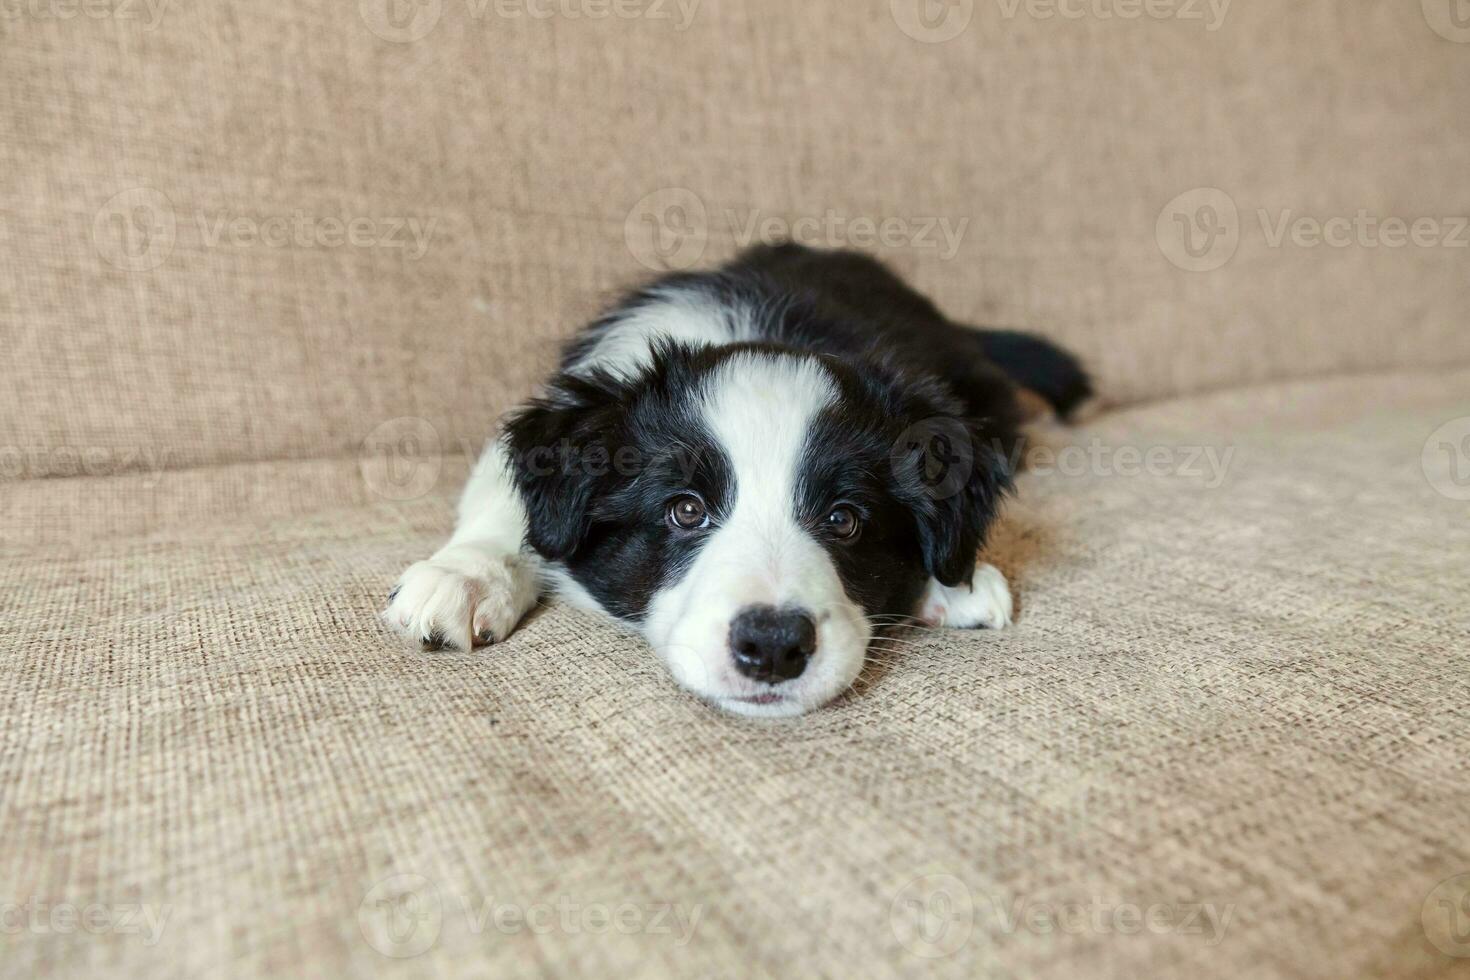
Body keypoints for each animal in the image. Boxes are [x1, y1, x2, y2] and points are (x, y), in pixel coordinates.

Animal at [382, 240, 1093, 717]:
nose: (773, 647)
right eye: (685, 510)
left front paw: (955, 581)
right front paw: (468, 575)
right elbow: (507, 500)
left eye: (843, 519)